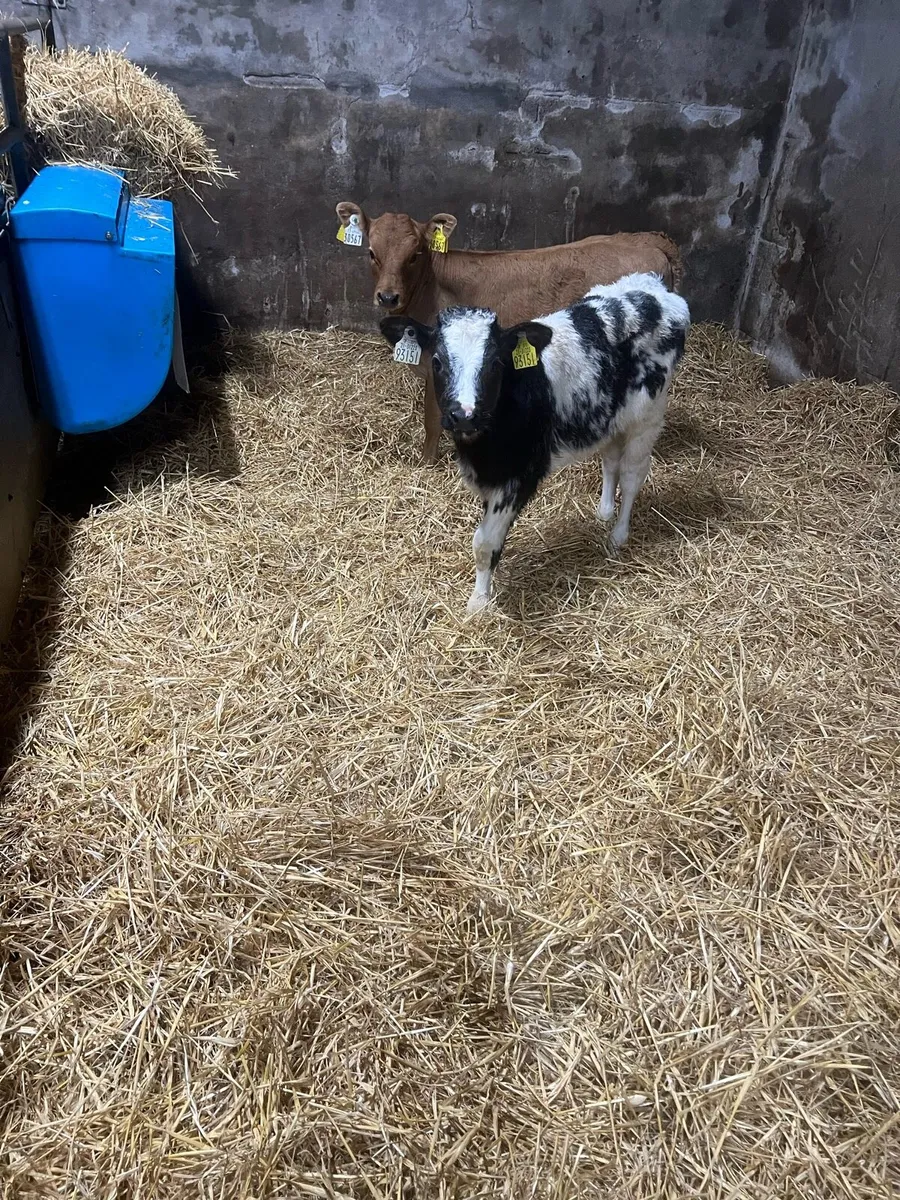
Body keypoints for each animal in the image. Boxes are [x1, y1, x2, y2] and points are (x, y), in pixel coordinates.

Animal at [336, 201, 683, 464]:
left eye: (415, 254)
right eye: (372, 252)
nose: (388, 296)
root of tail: (649, 240)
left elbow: (432, 419)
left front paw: (427, 462)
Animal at [380, 273, 690, 613]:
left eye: (495, 363)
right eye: (436, 361)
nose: (463, 415)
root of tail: (652, 287)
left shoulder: (520, 475)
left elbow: (484, 543)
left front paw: (478, 603)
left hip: (647, 416)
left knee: (633, 475)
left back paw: (618, 535)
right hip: (610, 416)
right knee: (611, 461)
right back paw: (604, 512)